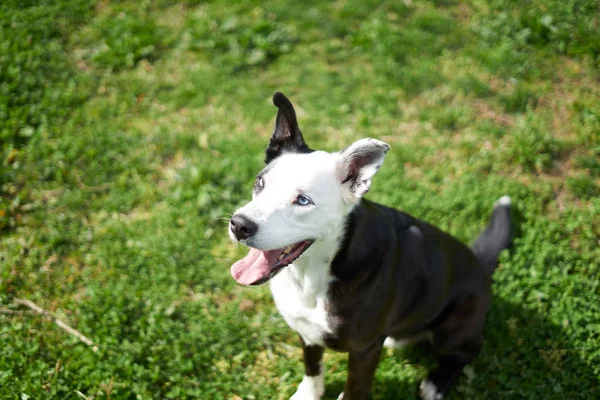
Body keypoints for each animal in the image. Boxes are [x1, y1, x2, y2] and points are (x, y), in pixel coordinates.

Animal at [229, 92, 510, 398]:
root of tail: (480, 266)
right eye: (260, 182)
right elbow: (312, 368)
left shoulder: (364, 349)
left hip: (453, 331)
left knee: (467, 353)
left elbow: (355, 387)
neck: (314, 274)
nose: (239, 225)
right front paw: (308, 394)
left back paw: (436, 383)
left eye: (303, 200)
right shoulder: (307, 332)